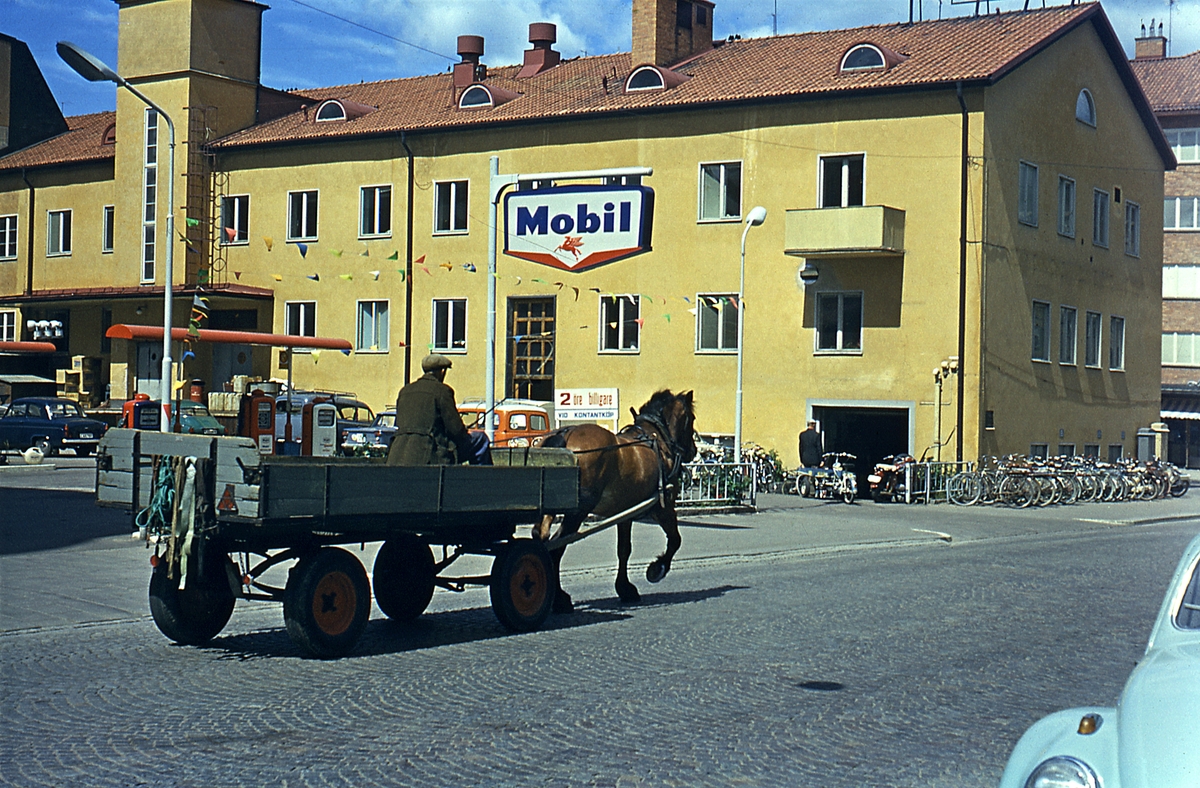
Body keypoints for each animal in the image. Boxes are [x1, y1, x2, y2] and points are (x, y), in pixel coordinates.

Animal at [532, 386, 700, 609]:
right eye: (691, 418)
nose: (693, 451)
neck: (657, 438)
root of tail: (565, 434)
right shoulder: (663, 506)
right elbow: (675, 540)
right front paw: (657, 569)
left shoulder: (626, 511)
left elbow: (624, 549)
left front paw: (625, 588)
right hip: (577, 511)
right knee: (558, 544)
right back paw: (559, 598)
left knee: (541, 536)